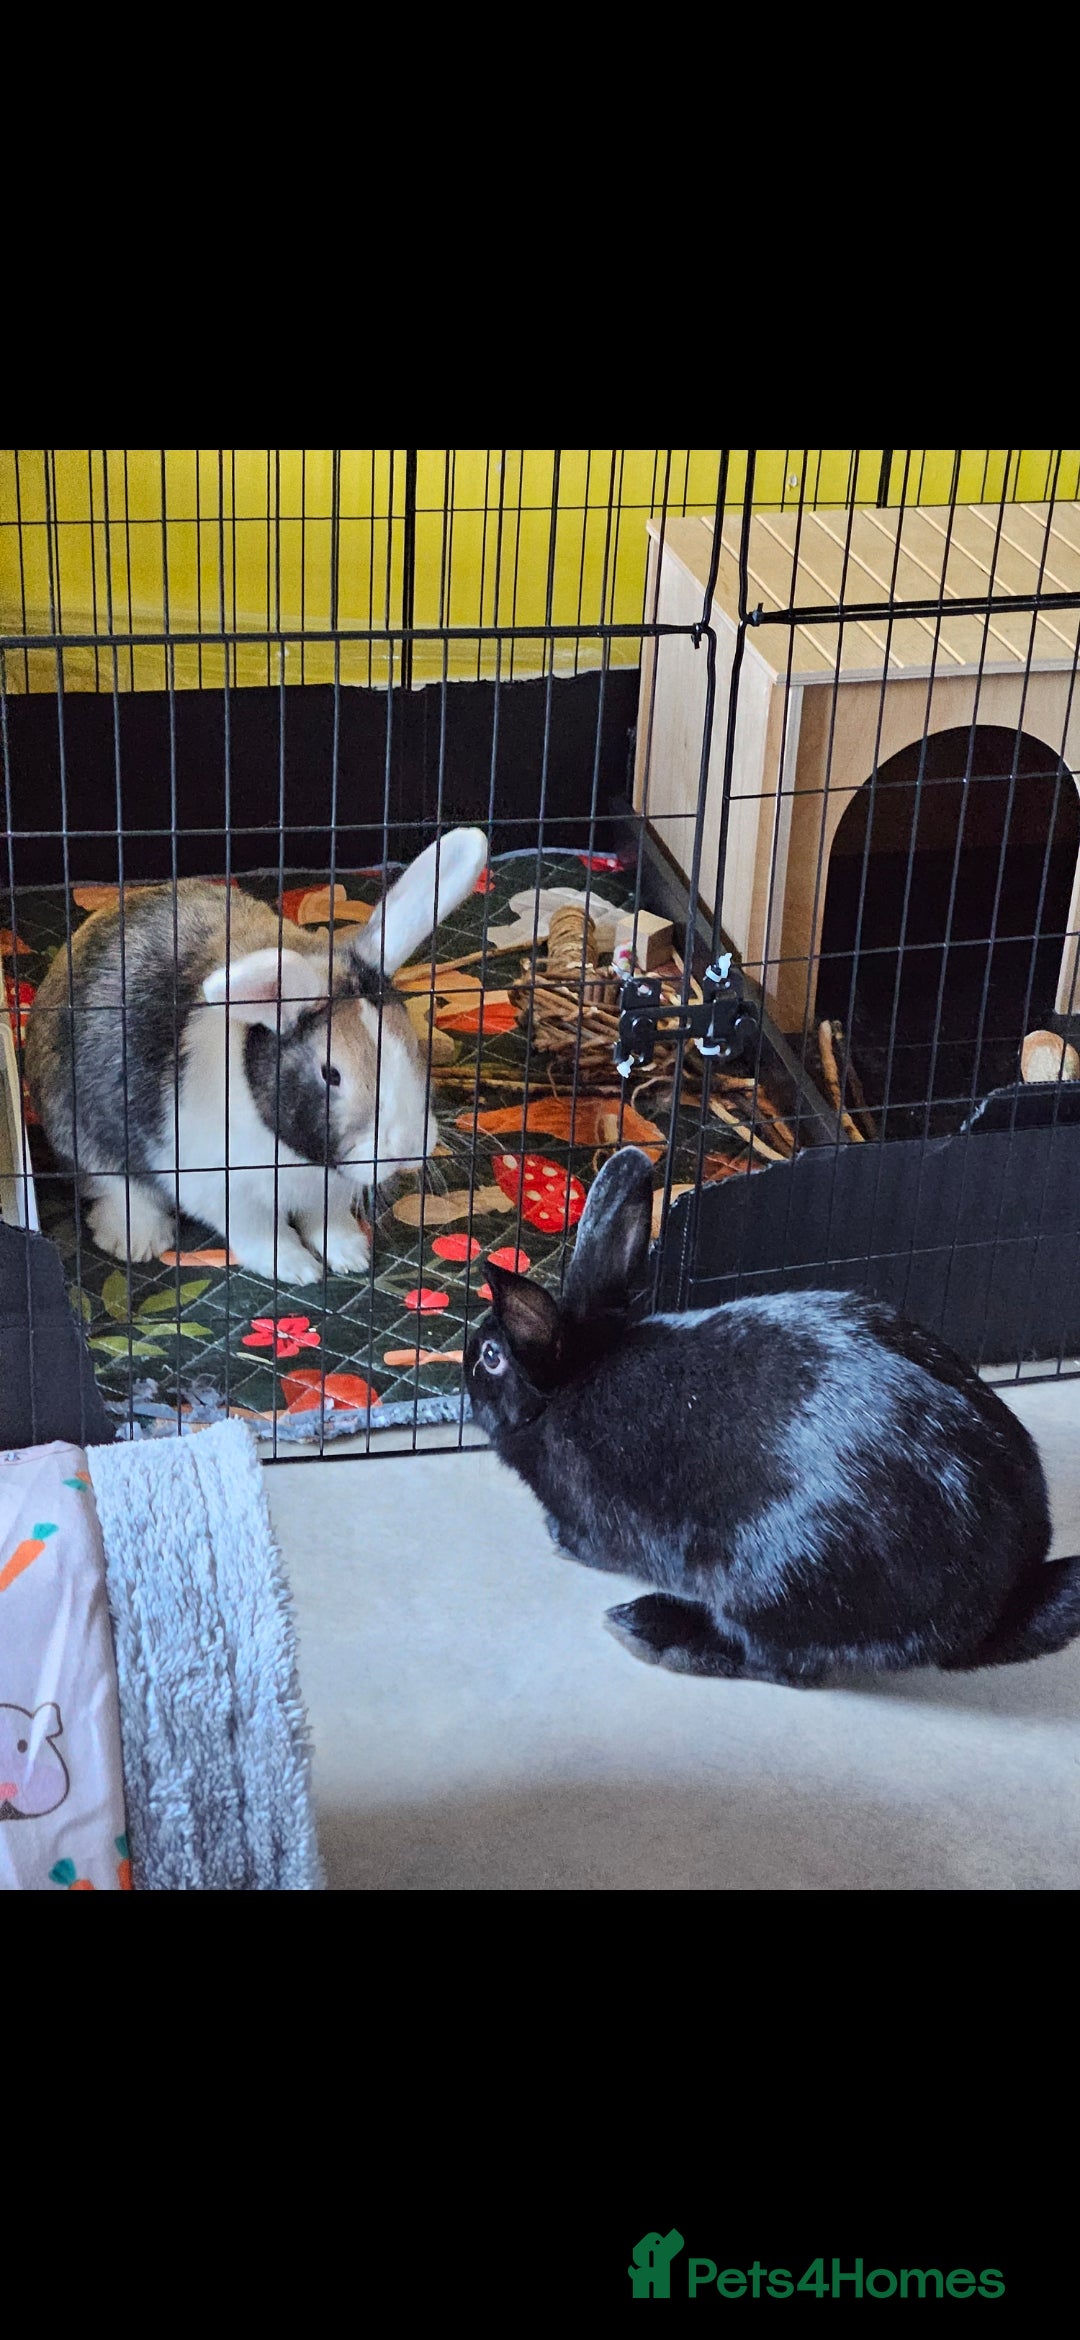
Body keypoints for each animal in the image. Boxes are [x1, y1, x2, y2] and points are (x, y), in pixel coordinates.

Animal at [25, 828, 488, 1287]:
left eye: (410, 1043)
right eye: (331, 1074)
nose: (408, 1148)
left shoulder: (326, 1194)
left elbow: (330, 1222)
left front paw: (351, 1255)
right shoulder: (225, 1192)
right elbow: (264, 1235)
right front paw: (298, 1269)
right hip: (81, 1129)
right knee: (115, 1186)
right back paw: (139, 1240)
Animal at [465, 1145, 1080, 1686]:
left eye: (491, 1357)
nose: (467, 1372)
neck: (567, 1382)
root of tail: (992, 1609)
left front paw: (559, 1540)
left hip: (776, 1577)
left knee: (775, 1662)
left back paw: (649, 1629)